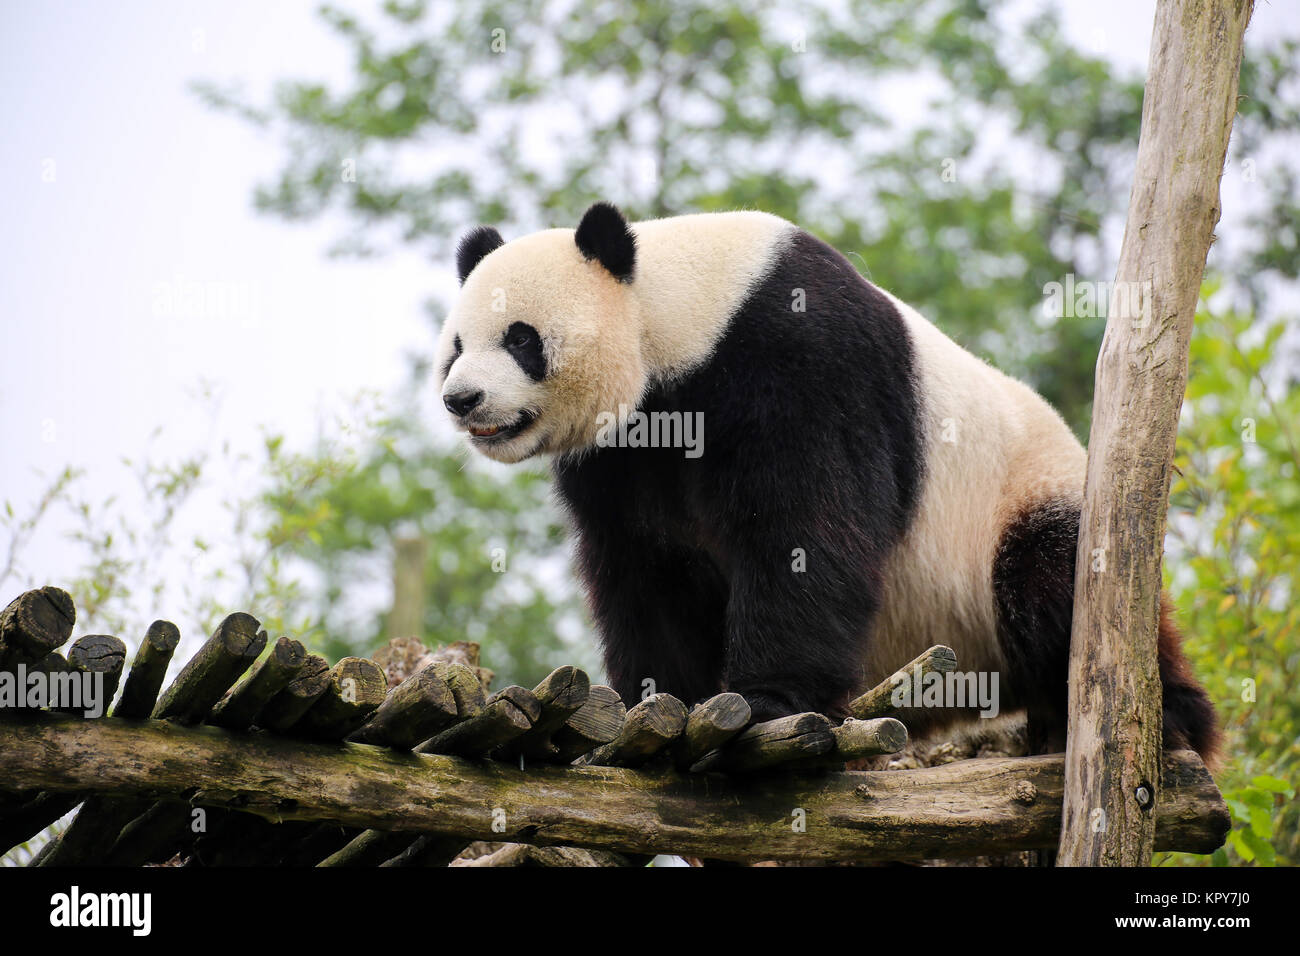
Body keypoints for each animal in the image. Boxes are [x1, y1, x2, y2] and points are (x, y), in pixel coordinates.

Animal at [436, 201, 1216, 764]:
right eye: (457, 346)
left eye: (520, 338)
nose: (461, 399)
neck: (678, 316)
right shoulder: (621, 453)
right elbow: (646, 568)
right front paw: (657, 704)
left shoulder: (799, 360)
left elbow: (806, 530)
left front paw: (766, 704)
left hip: (1026, 498)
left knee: (1053, 583)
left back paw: (1171, 721)